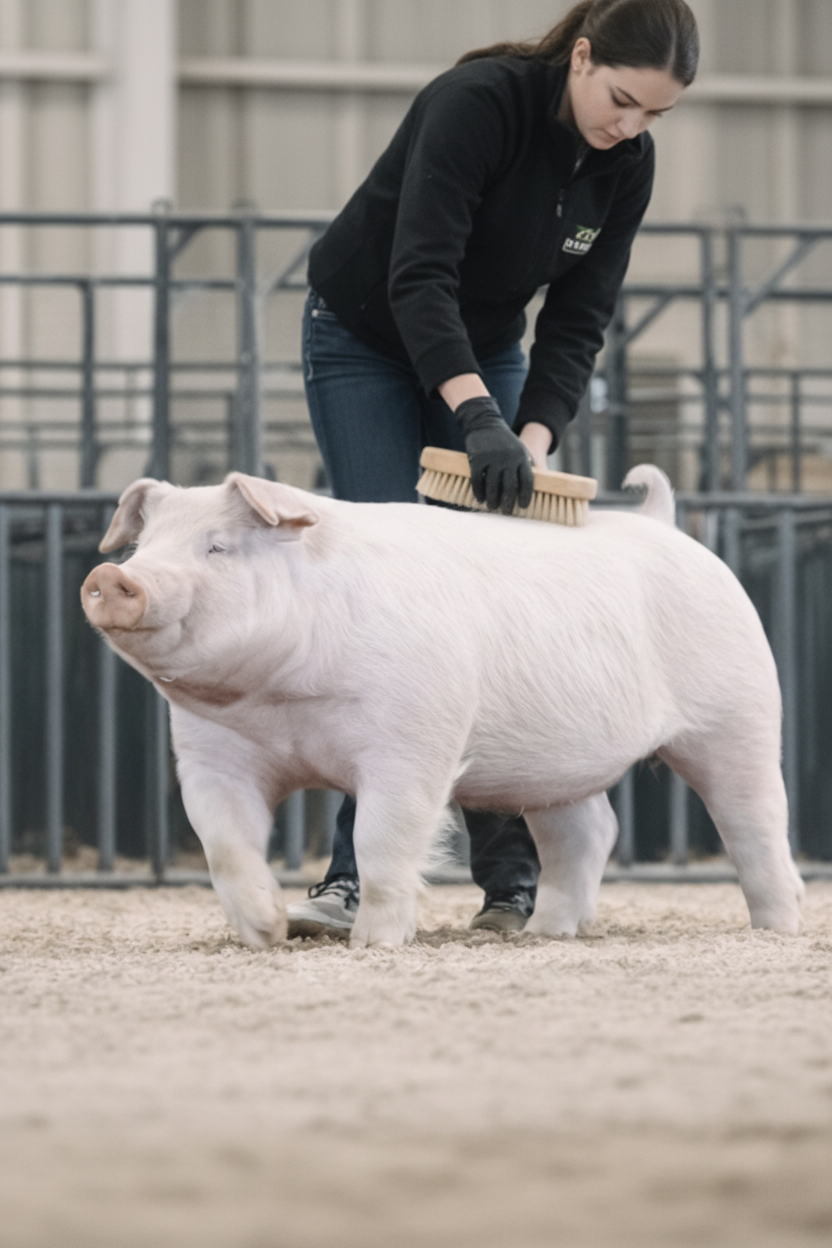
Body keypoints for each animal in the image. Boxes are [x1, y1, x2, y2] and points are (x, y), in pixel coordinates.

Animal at [80, 466, 804, 949]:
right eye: (142, 547)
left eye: (217, 546)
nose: (112, 576)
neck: (282, 702)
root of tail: (663, 521)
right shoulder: (211, 755)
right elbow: (226, 846)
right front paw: (269, 932)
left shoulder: (414, 738)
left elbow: (382, 839)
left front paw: (374, 943)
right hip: (555, 769)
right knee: (589, 832)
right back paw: (543, 934)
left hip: (739, 711)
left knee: (757, 820)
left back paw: (778, 925)